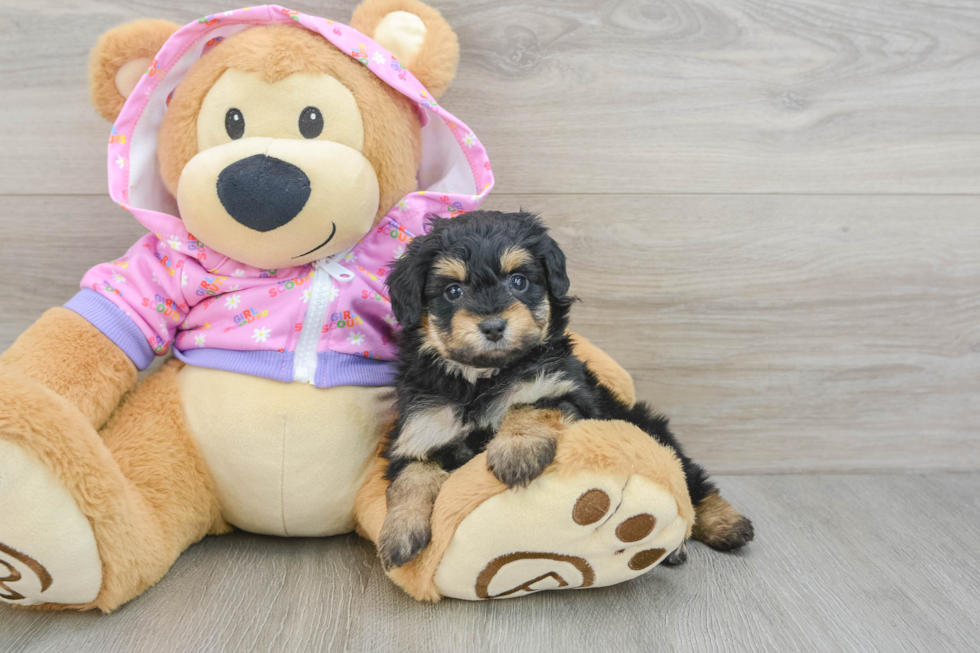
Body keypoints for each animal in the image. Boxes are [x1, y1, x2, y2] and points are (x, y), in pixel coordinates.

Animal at [378, 211, 756, 568]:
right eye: (453, 291)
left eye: (519, 281)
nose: (493, 326)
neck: (485, 376)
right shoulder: (419, 430)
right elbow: (410, 474)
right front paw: (399, 532)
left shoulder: (567, 390)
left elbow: (527, 403)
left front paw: (516, 452)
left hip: (650, 428)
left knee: (691, 482)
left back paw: (725, 526)